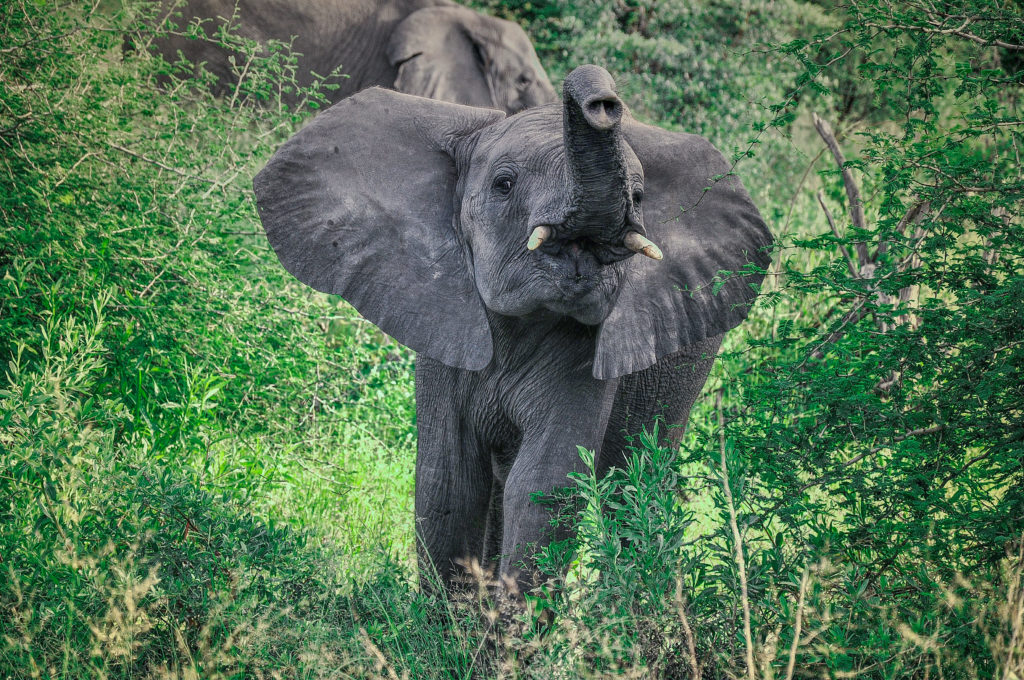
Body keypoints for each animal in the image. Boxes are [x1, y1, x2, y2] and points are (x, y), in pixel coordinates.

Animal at [251, 65, 770, 593]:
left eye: (640, 198)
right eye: (504, 184)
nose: (603, 101)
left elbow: (544, 486)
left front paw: (516, 619)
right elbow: (449, 480)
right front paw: (448, 619)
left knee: (634, 482)